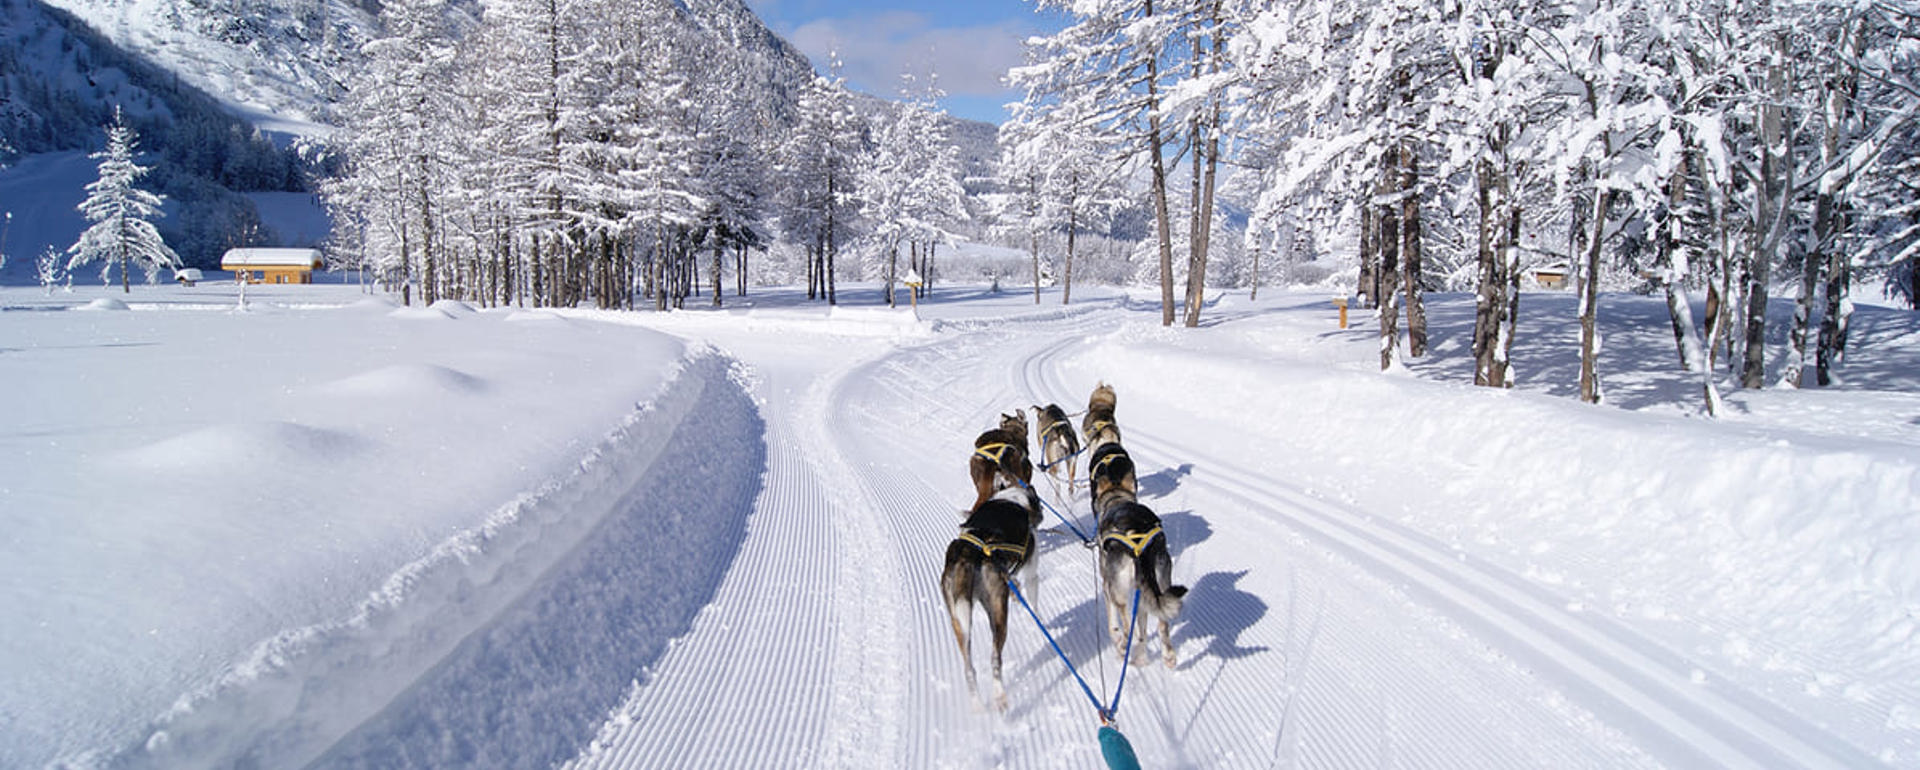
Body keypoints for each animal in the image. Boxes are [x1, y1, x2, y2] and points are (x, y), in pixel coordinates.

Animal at [940, 485, 1044, 706]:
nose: (1041, 515)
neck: (1011, 499)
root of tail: (968, 553)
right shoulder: (1031, 571)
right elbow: (1033, 600)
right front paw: (1038, 620)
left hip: (958, 620)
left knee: (969, 668)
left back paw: (977, 704)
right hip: (998, 612)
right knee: (995, 659)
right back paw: (999, 696)